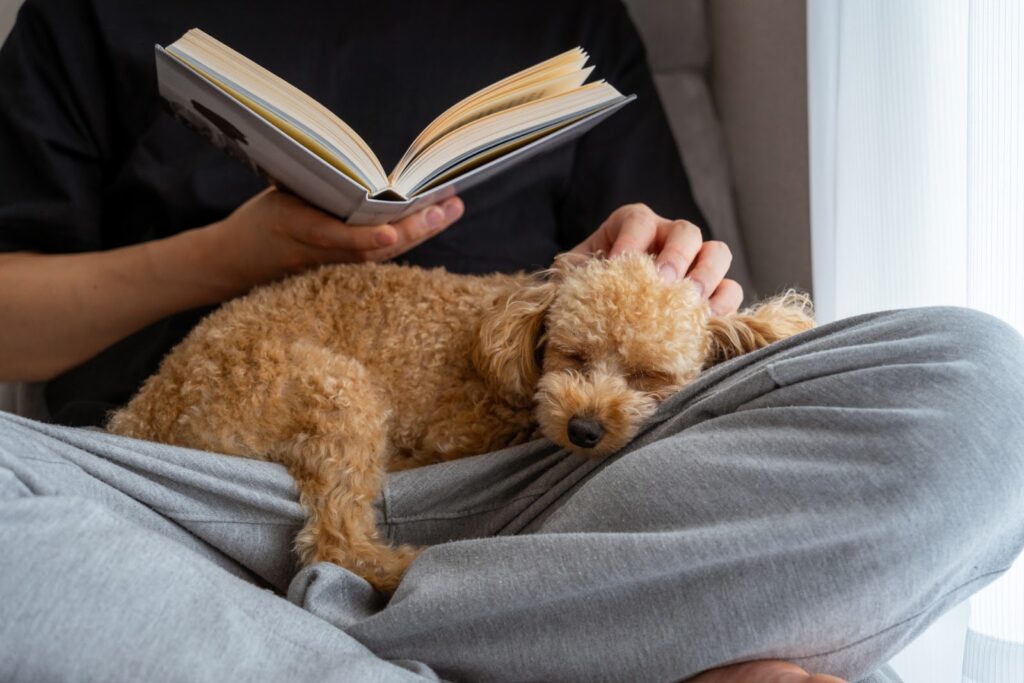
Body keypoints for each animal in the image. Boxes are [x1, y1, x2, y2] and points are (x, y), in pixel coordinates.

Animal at [105, 250, 815, 593]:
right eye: (573, 355)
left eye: (649, 377)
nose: (583, 431)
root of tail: (146, 406)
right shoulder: (457, 428)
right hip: (335, 391)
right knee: (334, 542)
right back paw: (406, 564)